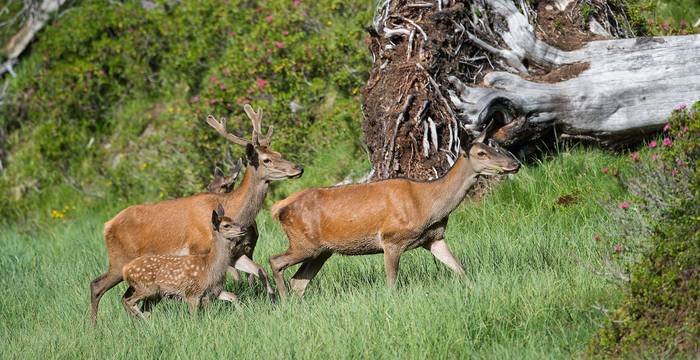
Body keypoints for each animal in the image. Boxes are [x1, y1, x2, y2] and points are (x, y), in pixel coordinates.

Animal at [88, 105, 300, 324]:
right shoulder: (199, 251)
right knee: (97, 286)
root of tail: (107, 225)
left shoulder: (235, 253)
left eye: (279, 153)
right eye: (267, 160)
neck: (232, 209)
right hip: (119, 259)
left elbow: (260, 270)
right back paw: (94, 326)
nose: (298, 168)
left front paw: (273, 301)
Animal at [270, 129, 516, 298]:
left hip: (321, 251)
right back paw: (282, 301)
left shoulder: (434, 238)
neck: (428, 205)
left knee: (298, 282)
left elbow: (460, 268)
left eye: (493, 147)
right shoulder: (391, 240)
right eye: (481, 153)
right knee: (275, 261)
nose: (514, 164)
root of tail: (279, 207)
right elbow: (391, 283)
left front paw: (474, 290)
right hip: (304, 243)